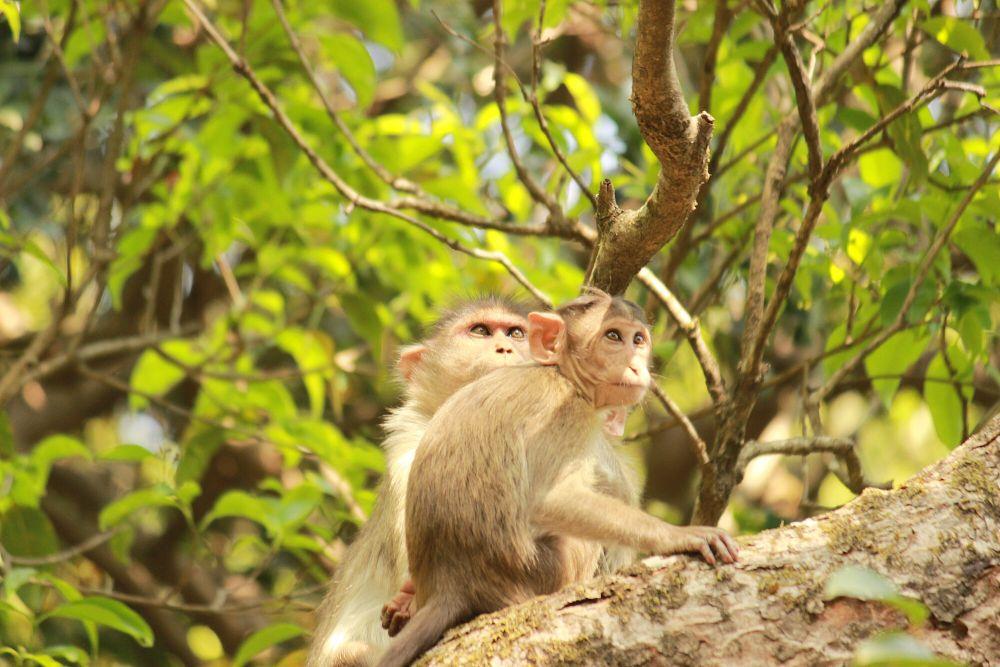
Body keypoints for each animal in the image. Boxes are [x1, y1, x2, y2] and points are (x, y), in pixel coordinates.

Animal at [378, 290, 740, 667]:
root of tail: (452, 584)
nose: (636, 366)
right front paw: (676, 536)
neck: (561, 374)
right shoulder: (567, 412)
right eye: (613, 336)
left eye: (638, 340)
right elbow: (550, 499)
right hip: (536, 573)